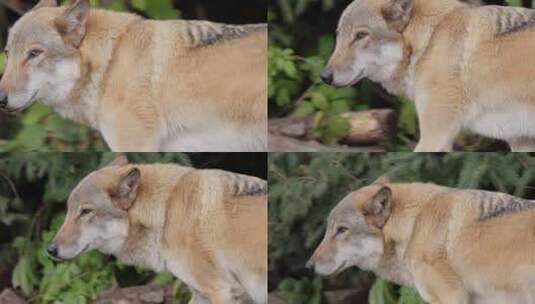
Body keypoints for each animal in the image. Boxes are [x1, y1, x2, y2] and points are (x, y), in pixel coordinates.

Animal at [48, 157, 268, 304]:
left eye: (85, 212)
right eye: (68, 210)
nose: (50, 250)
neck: (166, 212)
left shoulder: (221, 291)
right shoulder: (201, 294)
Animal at [322, 0, 535, 151]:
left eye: (360, 36)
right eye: (339, 35)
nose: (324, 77)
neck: (431, 38)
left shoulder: (435, 137)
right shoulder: (521, 141)